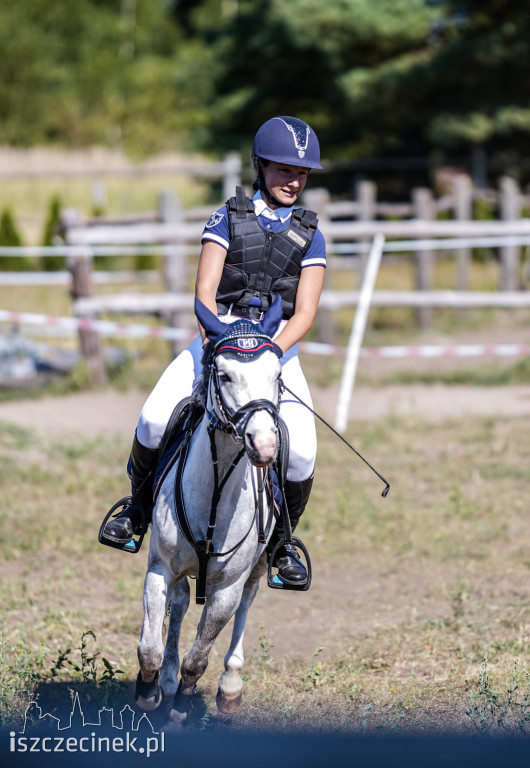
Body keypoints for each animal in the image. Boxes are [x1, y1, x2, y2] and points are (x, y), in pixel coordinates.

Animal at [136, 294, 284, 728]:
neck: (216, 492)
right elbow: (150, 646)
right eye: (225, 375)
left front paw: (183, 704)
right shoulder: (160, 568)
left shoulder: (226, 589)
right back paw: (165, 681)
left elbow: (199, 656)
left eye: (277, 375)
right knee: (181, 602)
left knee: (247, 602)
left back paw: (229, 686)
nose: (264, 445)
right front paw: (149, 691)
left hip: (256, 569)